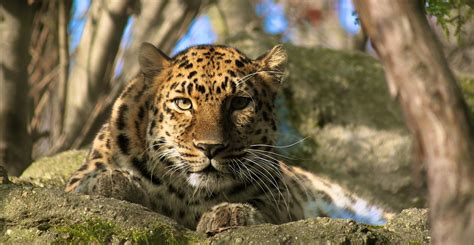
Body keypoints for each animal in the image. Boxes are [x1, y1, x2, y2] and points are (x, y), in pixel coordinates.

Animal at [66, 42, 392, 234]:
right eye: (183, 103)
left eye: (239, 103)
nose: (210, 148)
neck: (190, 195)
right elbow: (89, 181)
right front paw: (113, 180)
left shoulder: (284, 196)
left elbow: (262, 203)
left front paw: (230, 212)